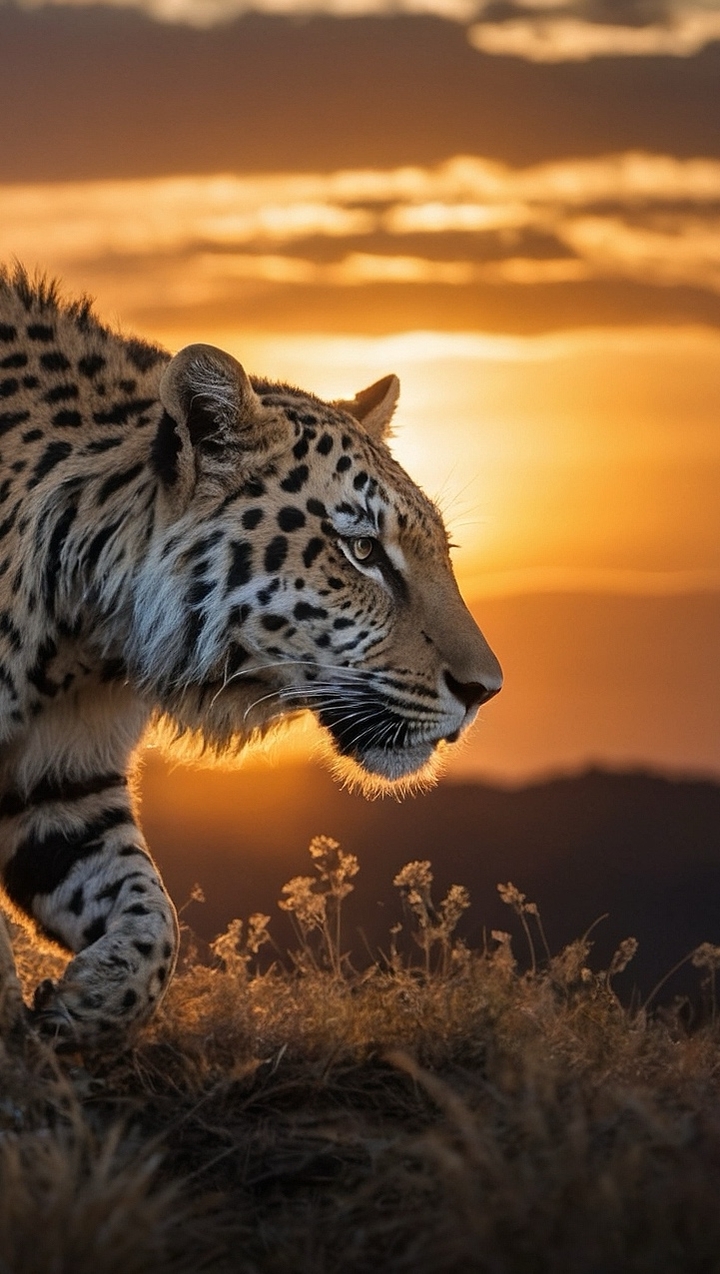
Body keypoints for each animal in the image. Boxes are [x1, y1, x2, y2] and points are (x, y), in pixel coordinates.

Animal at [0, 265, 502, 1051]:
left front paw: (88, 1002)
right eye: (362, 550)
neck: (86, 629)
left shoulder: (63, 778)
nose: (486, 690)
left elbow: (156, 919)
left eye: (441, 552)